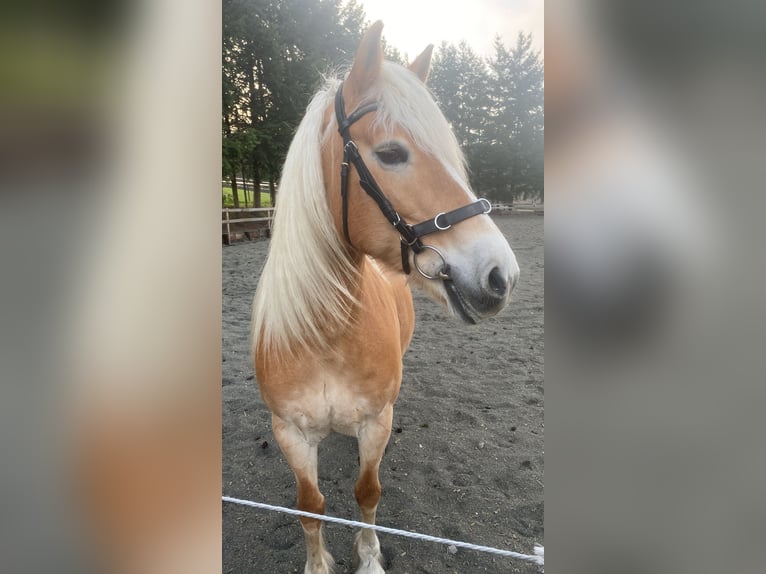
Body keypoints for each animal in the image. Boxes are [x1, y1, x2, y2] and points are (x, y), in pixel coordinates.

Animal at [252, 20, 520, 572]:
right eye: (392, 153)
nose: (500, 275)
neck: (323, 337)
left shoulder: (377, 423)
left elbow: (367, 491)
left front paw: (370, 556)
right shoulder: (289, 431)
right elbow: (310, 506)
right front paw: (318, 562)